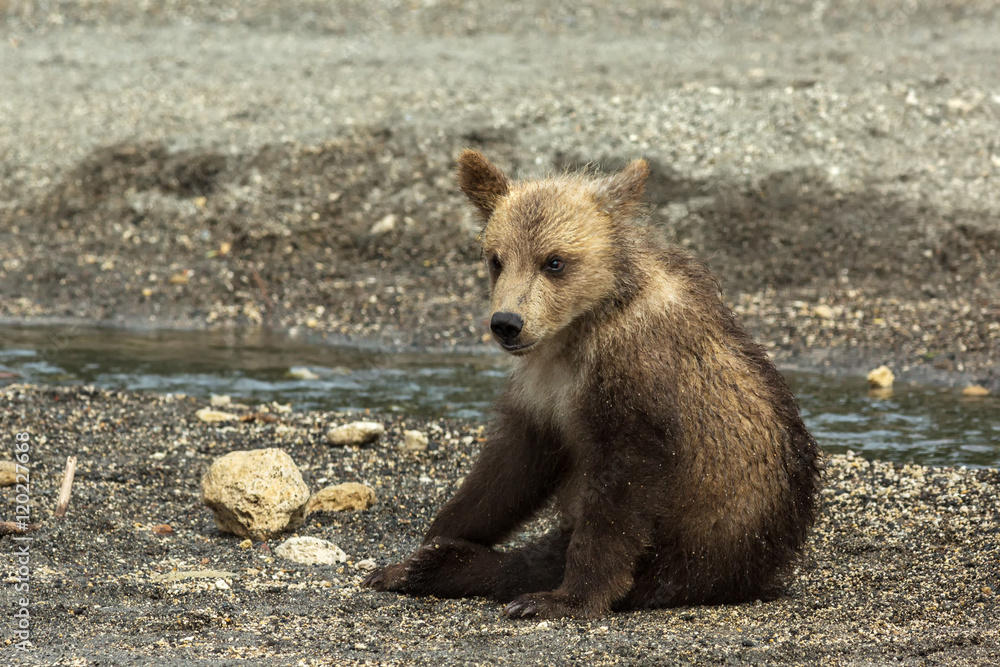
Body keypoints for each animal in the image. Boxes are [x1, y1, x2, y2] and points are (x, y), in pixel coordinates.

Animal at [363, 150, 822, 620]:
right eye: (496, 259)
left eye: (554, 261)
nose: (507, 323)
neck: (579, 328)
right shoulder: (542, 393)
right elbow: (506, 472)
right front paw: (418, 551)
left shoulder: (636, 383)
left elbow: (619, 499)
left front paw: (562, 598)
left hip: (701, 547)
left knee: (540, 560)